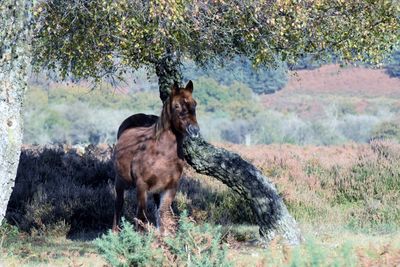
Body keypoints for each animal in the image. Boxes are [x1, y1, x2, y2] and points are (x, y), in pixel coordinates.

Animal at [112, 81, 200, 234]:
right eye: (177, 106)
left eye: (194, 104)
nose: (194, 130)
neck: (162, 155)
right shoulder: (142, 187)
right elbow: (141, 216)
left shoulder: (170, 188)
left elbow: (162, 213)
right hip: (120, 181)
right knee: (119, 204)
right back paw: (114, 232)